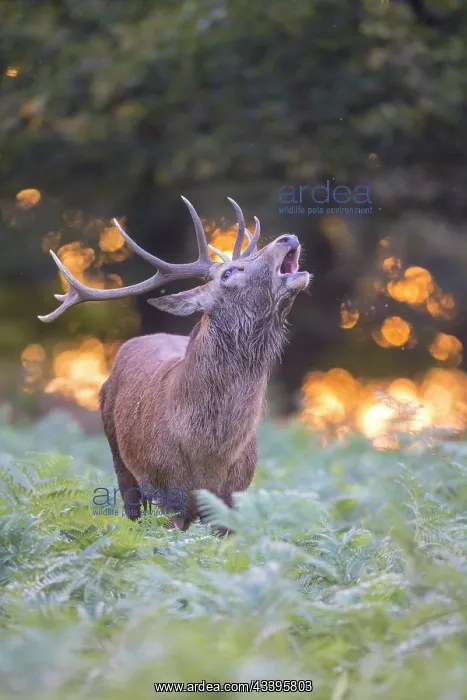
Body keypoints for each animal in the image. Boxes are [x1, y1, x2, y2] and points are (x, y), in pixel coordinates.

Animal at [39, 197, 310, 530]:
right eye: (228, 274)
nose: (287, 237)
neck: (208, 453)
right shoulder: (166, 492)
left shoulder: (234, 497)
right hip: (118, 456)